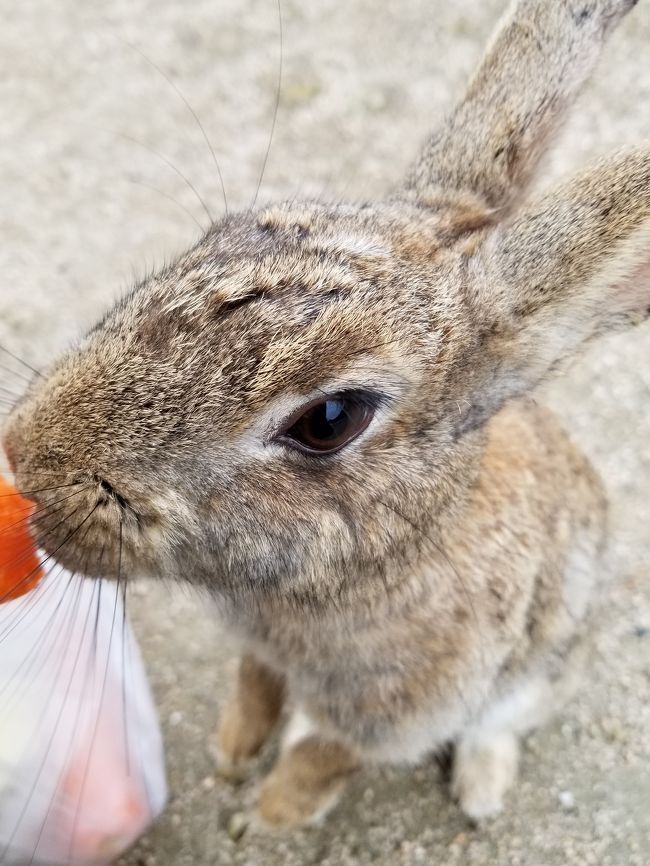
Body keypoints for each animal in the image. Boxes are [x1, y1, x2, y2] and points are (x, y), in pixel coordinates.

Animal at [1, 0, 648, 832]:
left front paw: (266, 815)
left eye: (330, 418)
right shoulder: (261, 653)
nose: (26, 456)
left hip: (547, 659)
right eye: (225, 234)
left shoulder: (400, 712)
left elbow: (324, 757)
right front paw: (233, 751)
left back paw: (481, 791)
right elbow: (256, 684)